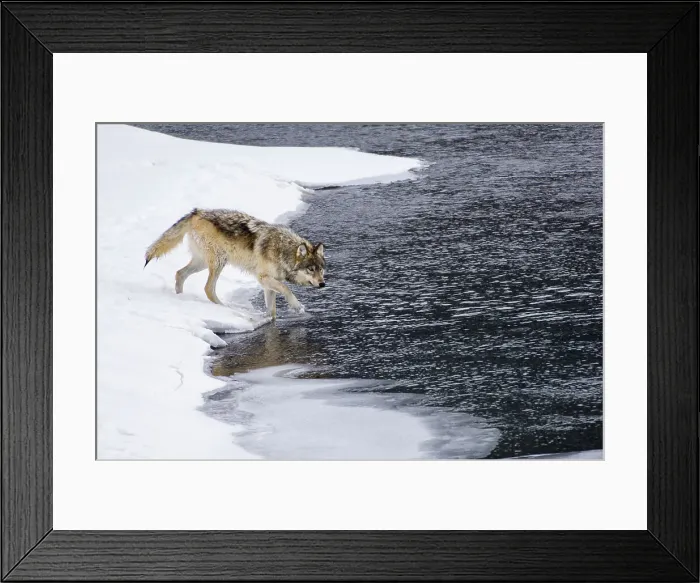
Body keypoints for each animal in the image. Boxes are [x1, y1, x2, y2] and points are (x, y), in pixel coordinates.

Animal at [144, 209, 325, 319]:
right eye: (311, 269)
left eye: (321, 270)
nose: (323, 284)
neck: (282, 249)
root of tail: (197, 211)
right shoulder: (263, 278)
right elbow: (287, 289)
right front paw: (296, 306)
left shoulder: (268, 284)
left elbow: (272, 310)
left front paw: (269, 320)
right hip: (218, 262)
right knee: (208, 288)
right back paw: (225, 309)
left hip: (202, 262)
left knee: (180, 274)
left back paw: (181, 299)